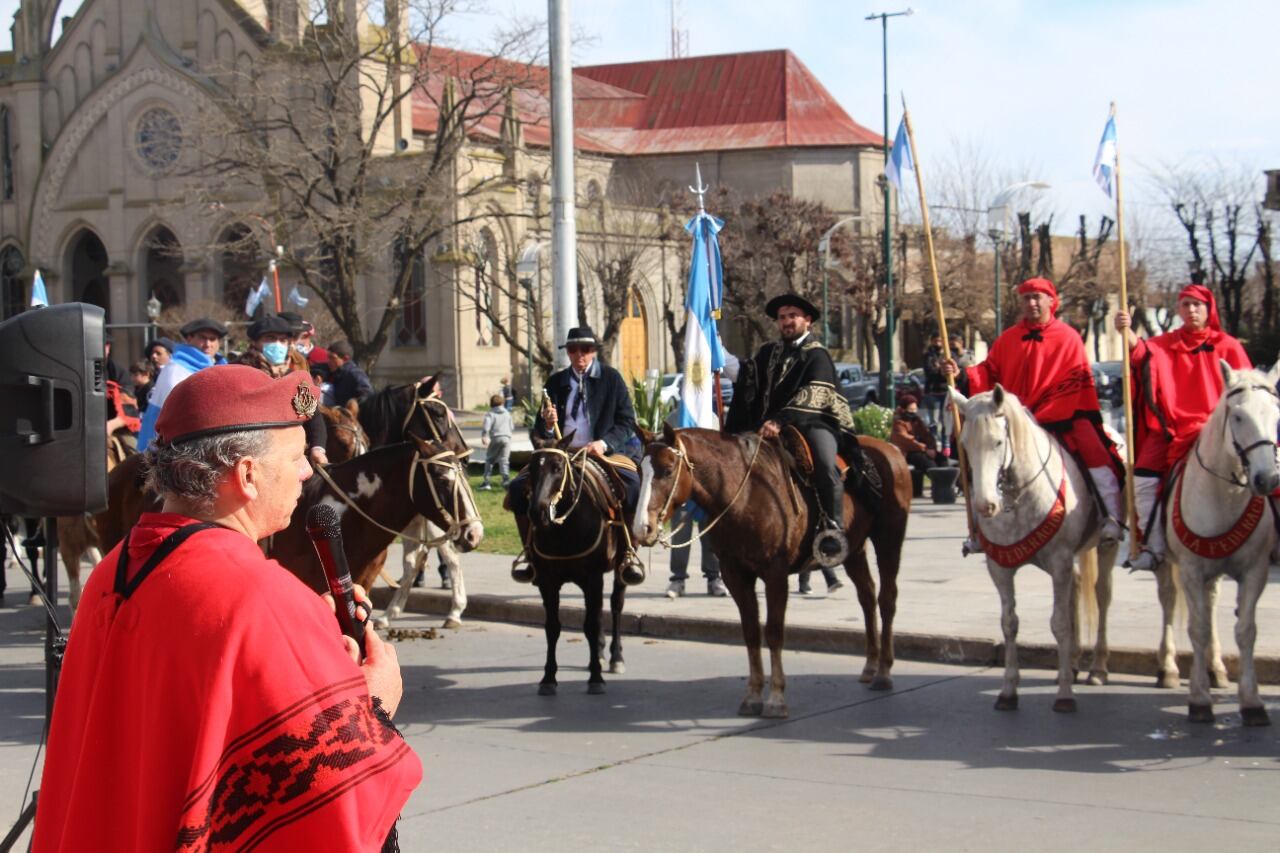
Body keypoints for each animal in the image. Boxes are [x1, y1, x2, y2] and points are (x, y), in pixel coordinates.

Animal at [509, 435, 629, 696]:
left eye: (557, 467)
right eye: (531, 468)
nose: (537, 512)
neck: (565, 528)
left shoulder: (593, 577)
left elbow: (592, 625)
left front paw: (596, 678)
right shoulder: (547, 581)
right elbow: (552, 627)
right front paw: (548, 678)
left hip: (619, 568)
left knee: (615, 604)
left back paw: (615, 657)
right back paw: (601, 653)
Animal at [629, 422, 911, 712]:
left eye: (667, 470)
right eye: (640, 469)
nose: (642, 528)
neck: (744, 495)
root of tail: (891, 450)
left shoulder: (775, 574)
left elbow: (774, 632)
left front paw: (776, 697)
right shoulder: (735, 574)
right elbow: (751, 632)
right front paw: (753, 695)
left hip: (889, 537)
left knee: (887, 598)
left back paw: (883, 672)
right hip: (854, 549)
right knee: (867, 595)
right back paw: (870, 666)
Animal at [952, 384, 1121, 712]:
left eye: (998, 441)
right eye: (965, 443)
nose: (985, 506)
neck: (1018, 496)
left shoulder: (1059, 560)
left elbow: (1059, 623)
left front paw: (1065, 695)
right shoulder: (1000, 567)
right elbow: (1009, 623)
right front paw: (1008, 691)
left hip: (1105, 547)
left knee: (1102, 594)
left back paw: (1097, 668)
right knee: (1076, 588)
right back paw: (1073, 663)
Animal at [1162, 358, 1280, 722]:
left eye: (1276, 415)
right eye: (1238, 416)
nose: (1268, 479)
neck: (1223, 494)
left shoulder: (1255, 570)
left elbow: (1246, 630)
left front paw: (1252, 702)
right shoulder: (1190, 569)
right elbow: (1197, 628)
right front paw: (1199, 699)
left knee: (1211, 603)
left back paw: (1216, 668)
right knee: (1169, 603)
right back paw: (1168, 668)